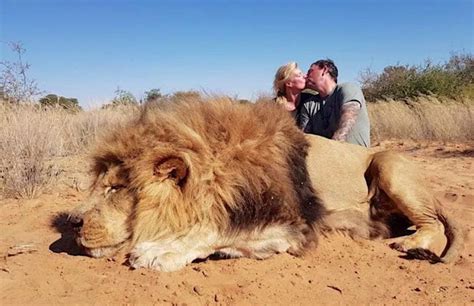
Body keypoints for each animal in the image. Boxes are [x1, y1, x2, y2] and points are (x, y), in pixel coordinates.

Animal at [68, 98, 462, 270]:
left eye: (116, 188)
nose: (73, 223)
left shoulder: (296, 224)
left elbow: (215, 230)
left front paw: (160, 251)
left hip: (388, 163)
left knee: (432, 223)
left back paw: (412, 243)